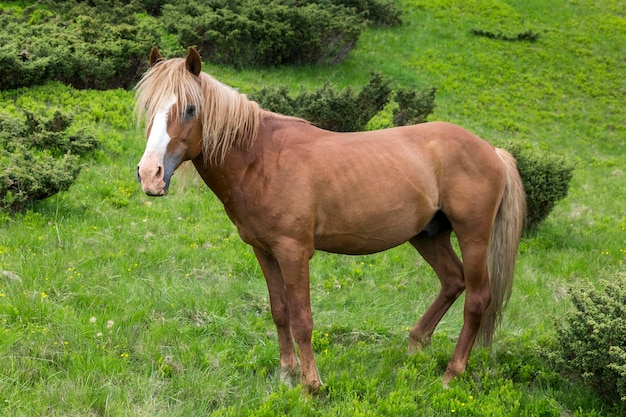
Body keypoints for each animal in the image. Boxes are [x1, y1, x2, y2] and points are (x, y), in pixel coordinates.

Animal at [134, 48, 524, 394]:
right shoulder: (264, 250)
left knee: (477, 298)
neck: (261, 159)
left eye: (190, 108)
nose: (150, 175)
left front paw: (311, 385)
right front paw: (286, 375)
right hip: (428, 235)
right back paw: (415, 346)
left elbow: (302, 319)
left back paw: (450, 375)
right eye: (149, 107)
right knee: (452, 281)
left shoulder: (293, 252)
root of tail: (492, 151)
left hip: (473, 236)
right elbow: (279, 311)